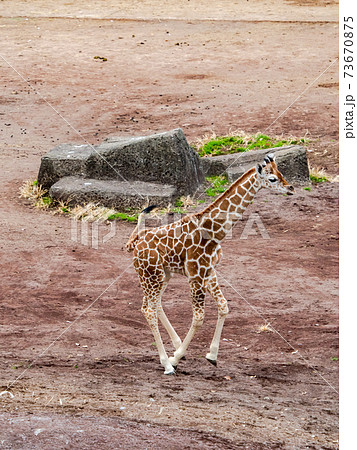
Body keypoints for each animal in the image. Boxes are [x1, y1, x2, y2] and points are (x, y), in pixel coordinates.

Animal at [126, 153, 294, 374]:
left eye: (281, 173)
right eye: (272, 179)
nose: (291, 188)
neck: (213, 232)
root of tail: (135, 242)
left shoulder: (210, 271)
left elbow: (223, 306)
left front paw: (211, 356)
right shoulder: (196, 274)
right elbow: (199, 317)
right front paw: (175, 359)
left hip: (162, 275)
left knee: (153, 306)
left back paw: (176, 347)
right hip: (150, 275)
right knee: (148, 310)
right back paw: (167, 364)